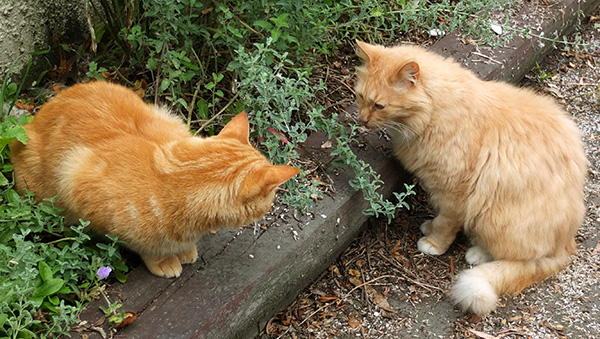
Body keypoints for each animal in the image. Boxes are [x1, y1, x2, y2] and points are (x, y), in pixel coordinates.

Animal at [356, 41, 584, 314]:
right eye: (359, 97)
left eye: (379, 105)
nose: (362, 120)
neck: (434, 115)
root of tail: (567, 243)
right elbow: (439, 217)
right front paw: (429, 227)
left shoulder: (456, 192)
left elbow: (446, 223)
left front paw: (434, 243)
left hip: (492, 214)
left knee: (518, 257)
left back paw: (477, 254)